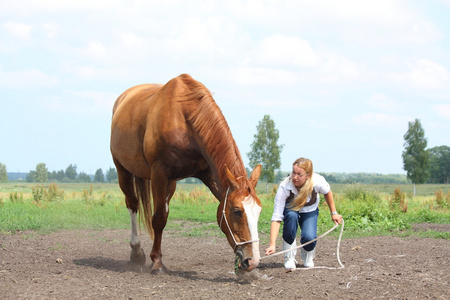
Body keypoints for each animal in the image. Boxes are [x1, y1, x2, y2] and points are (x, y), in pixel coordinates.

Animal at [110, 73, 262, 274]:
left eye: (259, 211)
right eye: (237, 211)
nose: (253, 261)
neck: (183, 120)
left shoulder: (207, 173)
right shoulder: (159, 173)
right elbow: (158, 218)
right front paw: (157, 262)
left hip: (171, 182)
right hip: (123, 170)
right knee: (132, 204)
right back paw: (136, 252)